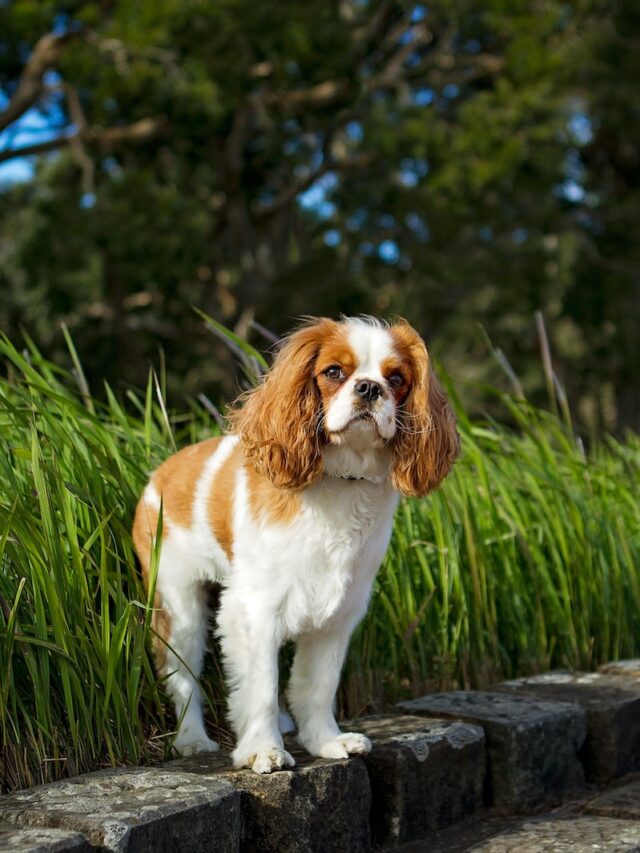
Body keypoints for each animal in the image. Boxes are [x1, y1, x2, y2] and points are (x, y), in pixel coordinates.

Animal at [132, 316, 458, 776]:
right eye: (334, 372)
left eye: (397, 380)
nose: (369, 388)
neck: (343, 481)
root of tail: (160, 474)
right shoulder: (254, 608)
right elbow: (262, 686)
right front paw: (262, 749)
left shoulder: (339, 613)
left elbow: (317, 685)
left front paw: (326, 741)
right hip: (179, 606)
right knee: (182, 676)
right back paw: (192, 739)